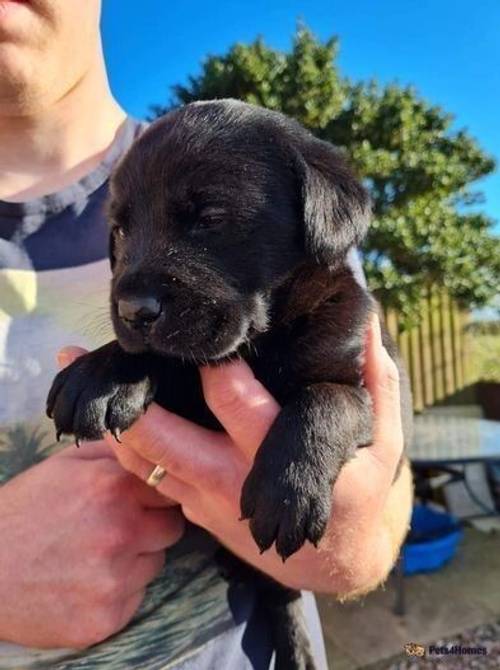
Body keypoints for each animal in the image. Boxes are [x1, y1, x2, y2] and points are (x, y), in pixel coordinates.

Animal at [47, 101, 414, 670]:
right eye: (121, 232)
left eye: (211, 219)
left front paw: (287, 490)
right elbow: (164, 359)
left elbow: (323, 401)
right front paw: (99, 375)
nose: (132, 310)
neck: (259, 343)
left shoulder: (365, 388)